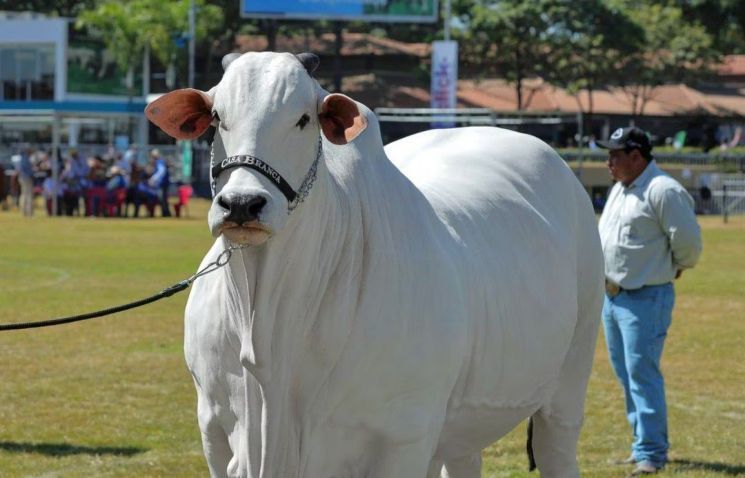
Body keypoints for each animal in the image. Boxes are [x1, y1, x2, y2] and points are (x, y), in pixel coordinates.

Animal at [145, 52, 604, 478]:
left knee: (557, 447)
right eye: (216, 117)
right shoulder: (214, 432)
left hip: (571, 377)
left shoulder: (404, 438)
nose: (242, 204)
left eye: (304, 119)